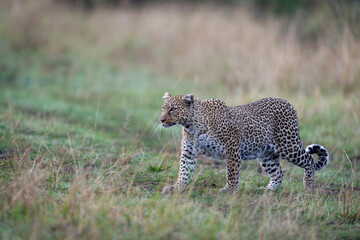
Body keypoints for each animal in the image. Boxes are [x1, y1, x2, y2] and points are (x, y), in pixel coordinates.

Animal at [160, 92, 330, 193]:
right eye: (163, 108)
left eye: (173, 109)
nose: (161, 120)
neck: (191, 125)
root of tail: (288, 103)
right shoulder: (189, 152)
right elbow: (184, 171)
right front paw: (177, 187)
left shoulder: (232, 148)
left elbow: (232, 172)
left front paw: (229, 190)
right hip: (267, 154)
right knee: (278, 173)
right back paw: (268, 190)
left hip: (288, 145)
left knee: (309, 160)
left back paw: (309, 187)